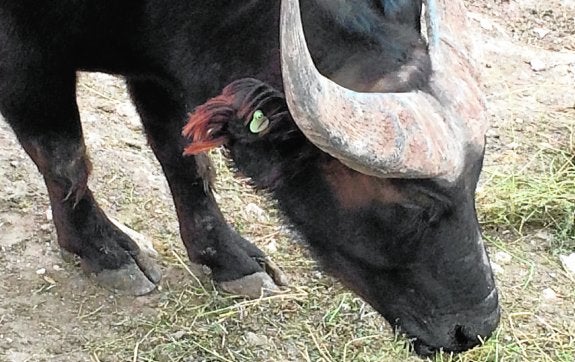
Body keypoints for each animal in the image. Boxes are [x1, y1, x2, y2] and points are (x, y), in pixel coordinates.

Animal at [0, 0, 500, 356]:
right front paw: (101, 251)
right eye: (413, 204)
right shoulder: (25, 61)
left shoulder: (159, 73)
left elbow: (183, 159)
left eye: (474, 182)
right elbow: (64, 158)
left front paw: (228, 258)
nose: (474, 329)